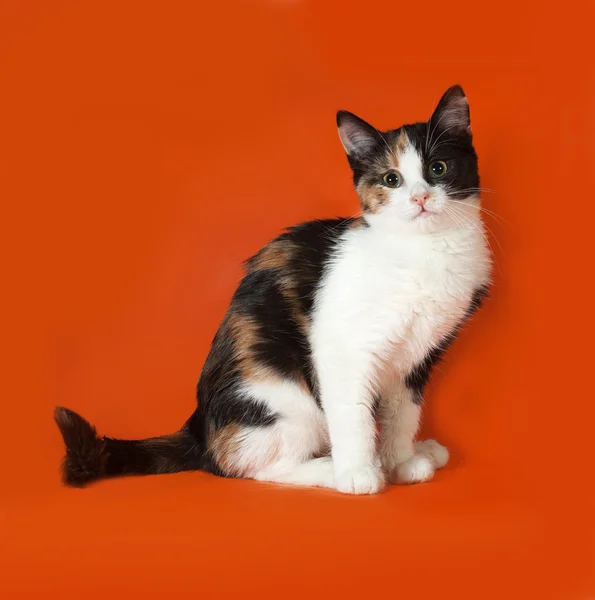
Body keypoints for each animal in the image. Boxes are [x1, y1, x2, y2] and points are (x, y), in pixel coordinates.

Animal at [56, 85, 492, 496]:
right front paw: (359, 472)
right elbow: (353, 413)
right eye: (391, 179)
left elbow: (403, 413)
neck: (426, 250)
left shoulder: (417, 356)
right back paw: (329, 469)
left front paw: (401, 462)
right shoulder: (341, 347)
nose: (420, 198)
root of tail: (198, 432)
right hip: (283, 398)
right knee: (254, 466)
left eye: (438, 167)